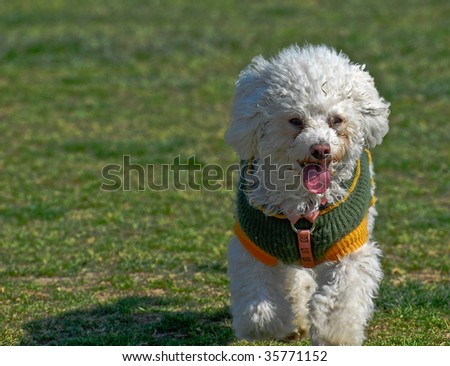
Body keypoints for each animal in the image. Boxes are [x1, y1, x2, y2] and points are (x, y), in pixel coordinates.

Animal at [227, 44, 388, 344]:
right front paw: (279, 324)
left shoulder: (349, 247)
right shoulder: (254, 244)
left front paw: (335, 334)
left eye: (336, 120)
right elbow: (260, 311)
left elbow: (340, 300)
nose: (320, 149)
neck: (304, 206)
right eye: (295, 121)